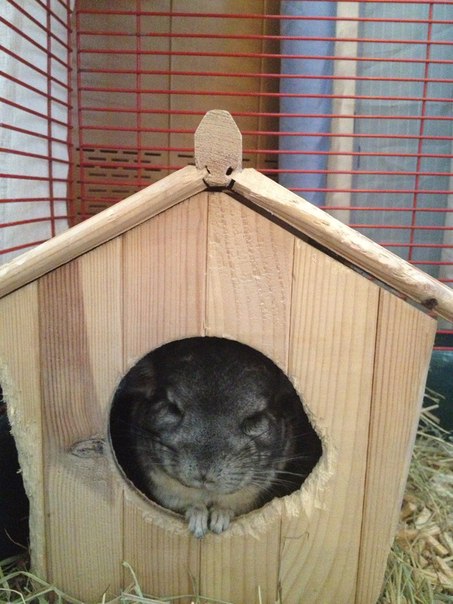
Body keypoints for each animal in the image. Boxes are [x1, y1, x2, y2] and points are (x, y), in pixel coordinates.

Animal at [109, 336, 321, 538]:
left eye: (254, 418)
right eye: (172, 407)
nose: (203, 474)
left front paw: (220, 520)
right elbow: (188, 505)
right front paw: (198, 522)